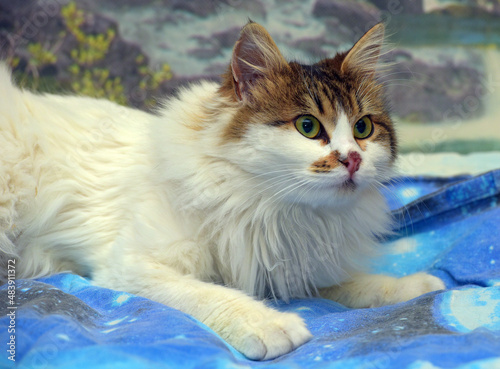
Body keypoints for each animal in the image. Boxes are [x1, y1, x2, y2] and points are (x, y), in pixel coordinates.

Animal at [0, 21, 446, 358]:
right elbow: (208, 292)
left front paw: (416, 287)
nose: (352, 159)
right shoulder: (132, 265)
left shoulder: (289, 266)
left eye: (363, 128)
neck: (272, 207)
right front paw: (269, 325)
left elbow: (356, 283)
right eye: (307, 126)